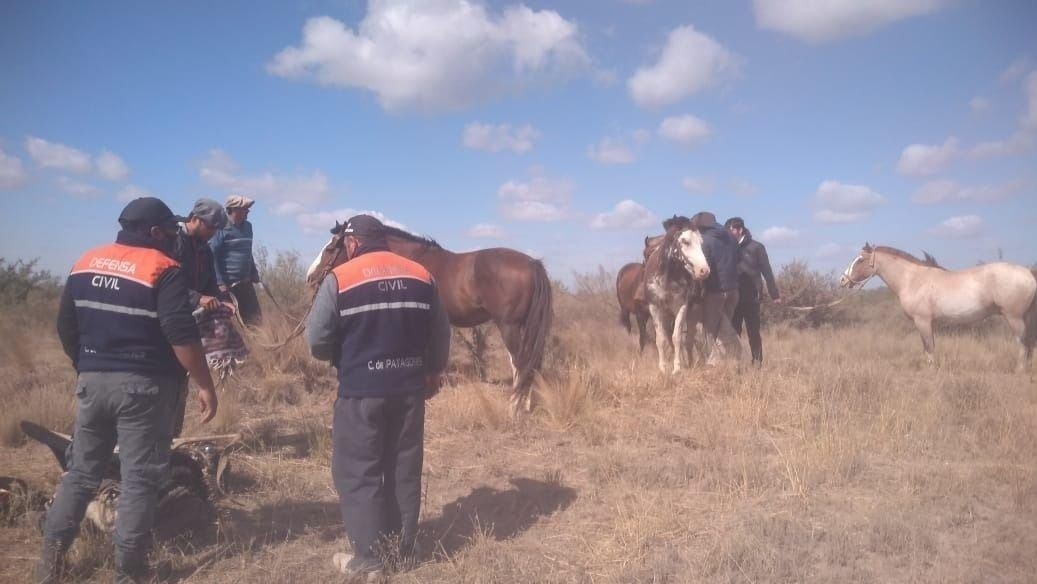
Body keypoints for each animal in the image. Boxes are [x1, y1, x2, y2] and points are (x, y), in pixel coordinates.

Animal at [304, 223, 551, 410]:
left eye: (331, 248)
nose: (310, 276)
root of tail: (532, 264)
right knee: (532, 362)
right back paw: (527, 404)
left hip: (509, 325)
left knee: (520, 361)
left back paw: (515, 406)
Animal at [842, 244, 1037, 373]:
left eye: (860, 260)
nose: (843, 280)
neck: (912, 279)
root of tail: (1028, 273)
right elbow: (929, 346)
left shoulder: (923, 321)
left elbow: (929, 347)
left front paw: (931, 371)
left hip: (1014, 318)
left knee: (1023, 344)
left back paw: (1019, 371)